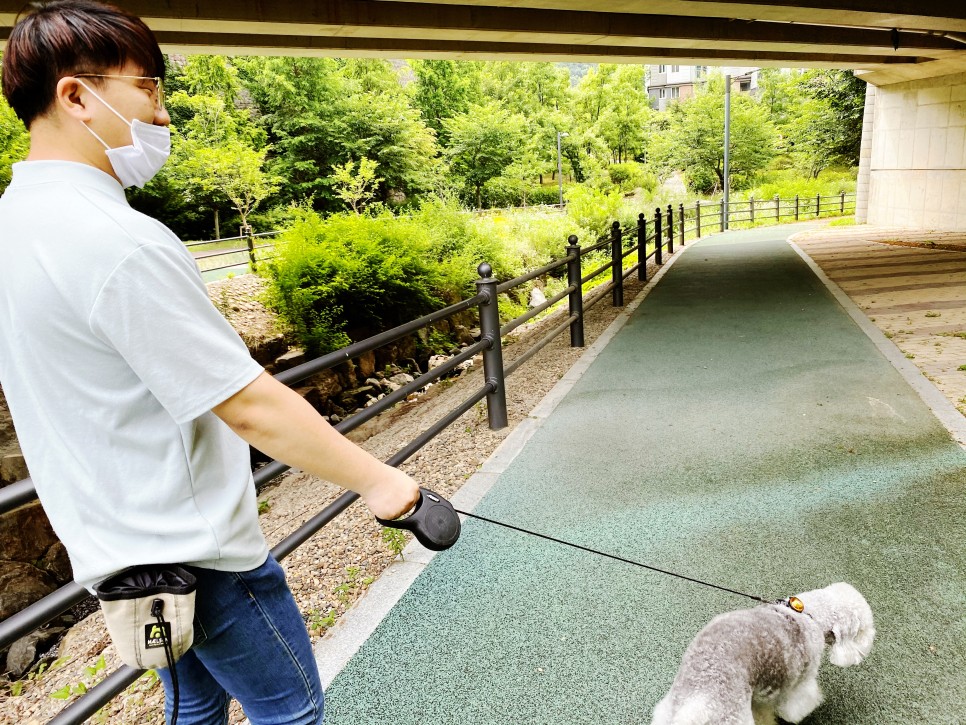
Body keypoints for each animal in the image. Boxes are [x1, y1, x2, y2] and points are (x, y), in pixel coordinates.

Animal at [656, 584, 872, 724]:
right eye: (863, 630)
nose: (868, 645)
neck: (809, 614)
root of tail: (698, 703)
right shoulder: (800, 682)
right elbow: (796, 706)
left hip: (666, 712)